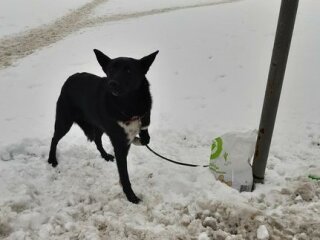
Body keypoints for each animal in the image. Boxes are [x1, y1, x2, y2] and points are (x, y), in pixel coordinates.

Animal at [47, 49, 159, 203]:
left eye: (128, 70)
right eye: (111, 70)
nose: (112, 83)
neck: (128, 106)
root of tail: (70, 78)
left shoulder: (142, 120)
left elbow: (145, 137)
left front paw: (139, 138)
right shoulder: (119, 144)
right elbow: (124, 175)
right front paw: (131, 196)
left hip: (98, 124)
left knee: (97, 140)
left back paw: (105, 156)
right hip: (64, 122)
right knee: (54, 139)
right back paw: (52, 159)